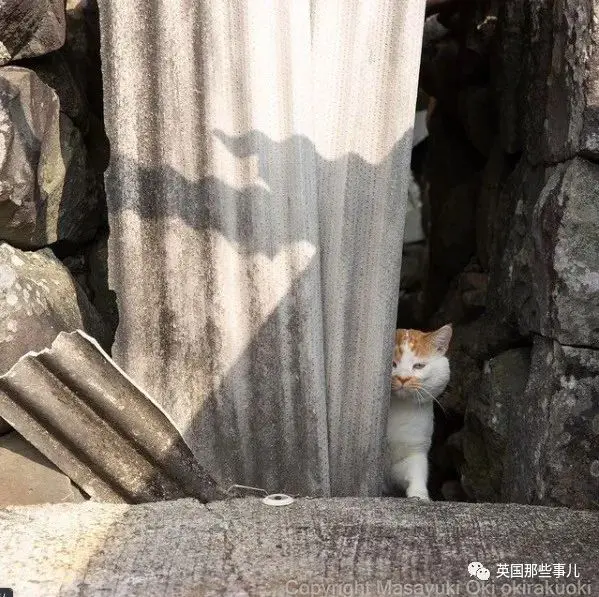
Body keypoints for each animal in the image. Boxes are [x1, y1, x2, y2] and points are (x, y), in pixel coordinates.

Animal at [386, 322, 452, 498]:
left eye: (419, 366)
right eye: (392, 364)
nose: (403, 378)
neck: (399, 409)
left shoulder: (415, 448)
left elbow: (417, 469)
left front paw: (419, 494)